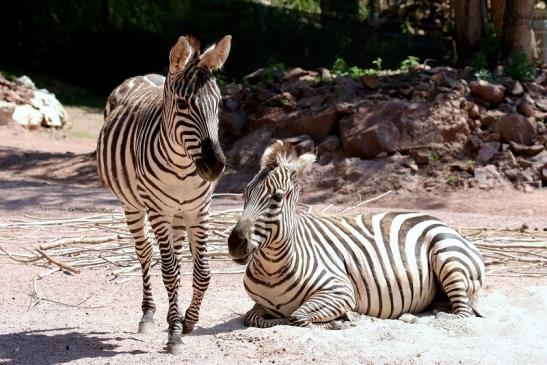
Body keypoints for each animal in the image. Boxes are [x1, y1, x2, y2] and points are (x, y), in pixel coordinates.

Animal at [96, 35, 231, 352]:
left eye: (218, 104)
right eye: (182, 104)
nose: (215, 167)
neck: (182, 165)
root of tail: (143, 75)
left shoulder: (199, 210)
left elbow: (203, 274)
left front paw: (187, 322)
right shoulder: (158, 211)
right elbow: (169, 272)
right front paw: (174, 334)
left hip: (178, 213)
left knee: (178, 259)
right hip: (133, 205)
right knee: (145, 252)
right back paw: (148, 314)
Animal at [229, 141, 486, 328]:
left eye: (277, 198)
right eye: (245, 194)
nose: (234, 243)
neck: (271, 269)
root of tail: (440, 221)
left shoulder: (340, 290)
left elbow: (298, 318)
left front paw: (346, 319)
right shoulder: (259, 305)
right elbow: (254, 318)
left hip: (448, 256)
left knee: (462, 312)